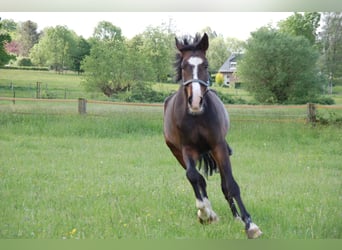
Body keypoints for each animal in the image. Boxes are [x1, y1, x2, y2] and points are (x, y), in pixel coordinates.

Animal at [163, 33, 262, 238]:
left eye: (206, 65)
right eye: (183, 66)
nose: (195, 101)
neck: (197, 117)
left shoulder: (218, 146)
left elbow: (230, 185)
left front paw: (250, 225)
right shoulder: (187, 149)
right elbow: (193, 176)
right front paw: (204, 213)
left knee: (224, 184)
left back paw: (236, 217)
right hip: (177, 153)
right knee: (198, 178)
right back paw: (209, 213)